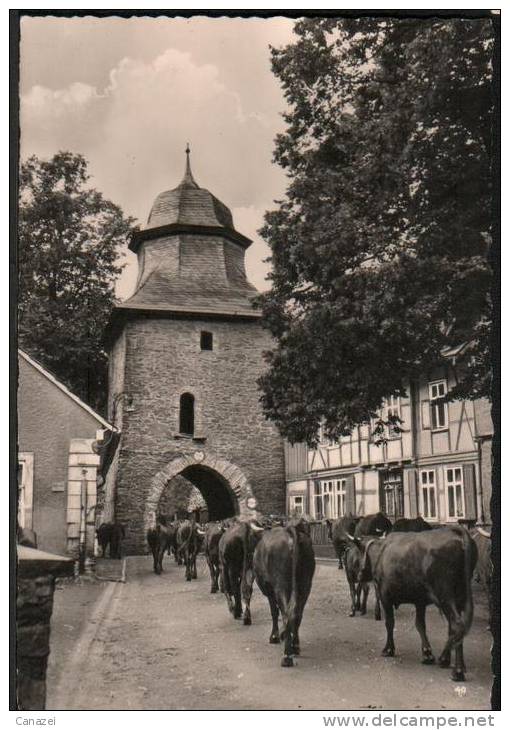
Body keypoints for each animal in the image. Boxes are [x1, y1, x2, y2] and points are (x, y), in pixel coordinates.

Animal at [252, 516, 314, 664]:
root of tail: (289, 531)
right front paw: (284, 634)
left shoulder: (269, 590)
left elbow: (274, 612)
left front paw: (275, 636)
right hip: (305, 584)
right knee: (297, 613)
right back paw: (295, 646)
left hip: (281, 585)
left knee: (287, 615)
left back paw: (287, 656)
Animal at [350, 528, 478, 680]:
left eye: (358, 553)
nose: (358, 576)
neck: (380, 552)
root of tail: (457, 532)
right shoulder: (420, 601)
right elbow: (420, 625)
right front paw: (427, 653)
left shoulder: (385, 597)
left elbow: (389, 623)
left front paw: (388, 649)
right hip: (459, 597)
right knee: (455, 629)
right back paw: (451, 662)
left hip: (445, 595)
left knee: (457, 625)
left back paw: (456, 670)